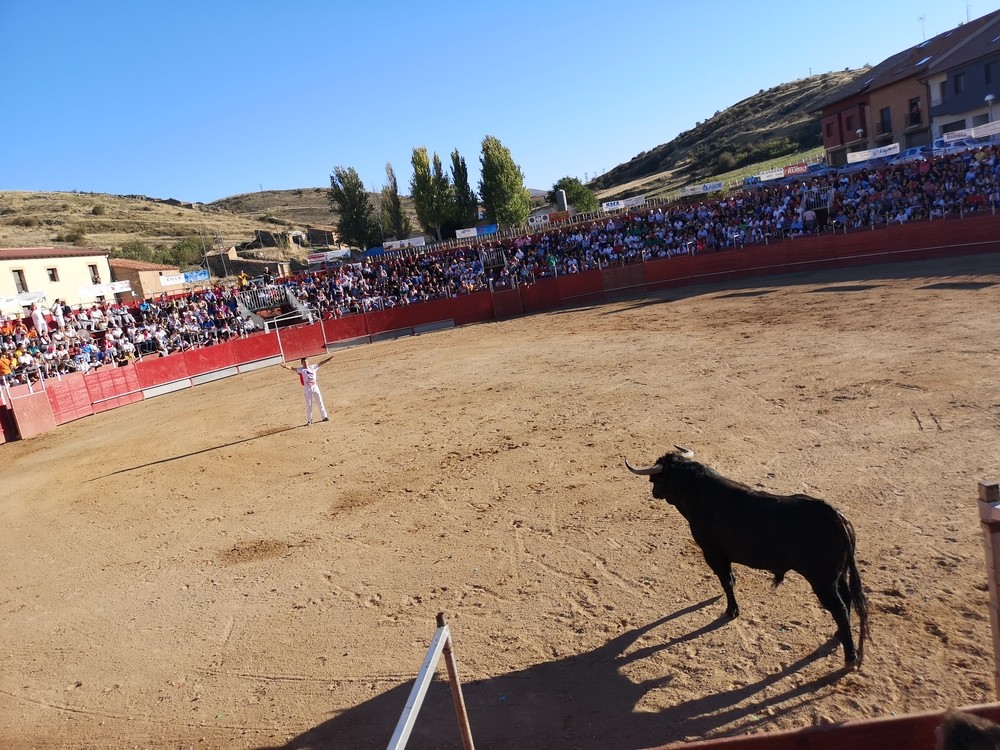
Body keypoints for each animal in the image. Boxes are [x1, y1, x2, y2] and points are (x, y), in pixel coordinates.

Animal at [624, 450, 868, 668]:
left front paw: (731, 611)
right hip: (838, 576)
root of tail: (836, 517)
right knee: (846, 600)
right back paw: (839, 635)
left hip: (822, 582)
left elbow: (726, 580)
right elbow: (729, 578)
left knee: (839, 608)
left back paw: (850, 656)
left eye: (655, 479)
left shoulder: (712, 552)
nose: (654, 492)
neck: (698, 492)